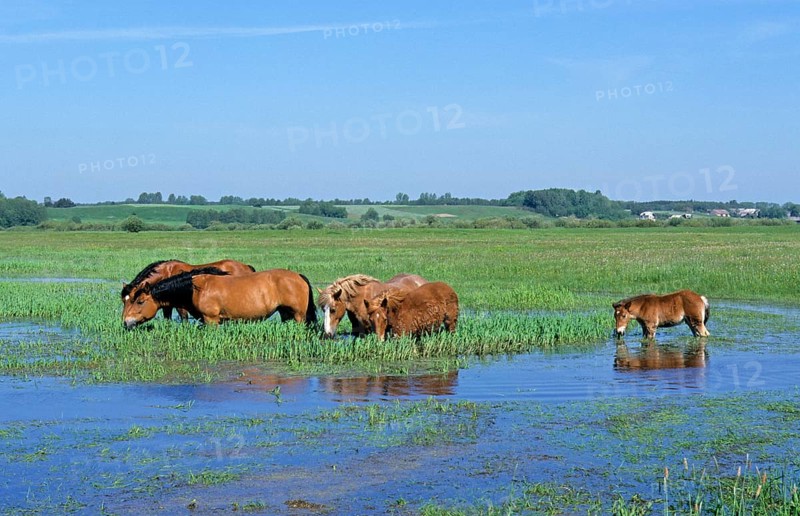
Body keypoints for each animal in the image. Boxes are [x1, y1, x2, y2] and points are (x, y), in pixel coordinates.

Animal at [121, 259, 255, 321]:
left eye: (134, 300)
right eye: (124, 301)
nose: (124, 319)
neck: (167, 272)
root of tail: (247, 267)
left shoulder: (179, 305)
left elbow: (184, 318)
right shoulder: (166, 305)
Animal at [123, 268, 317, 328]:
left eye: (140, 301)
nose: (126, 322)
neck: (196, 289)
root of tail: (298, 276)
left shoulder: (211, 320)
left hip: (299, 315)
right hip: (285, 313)